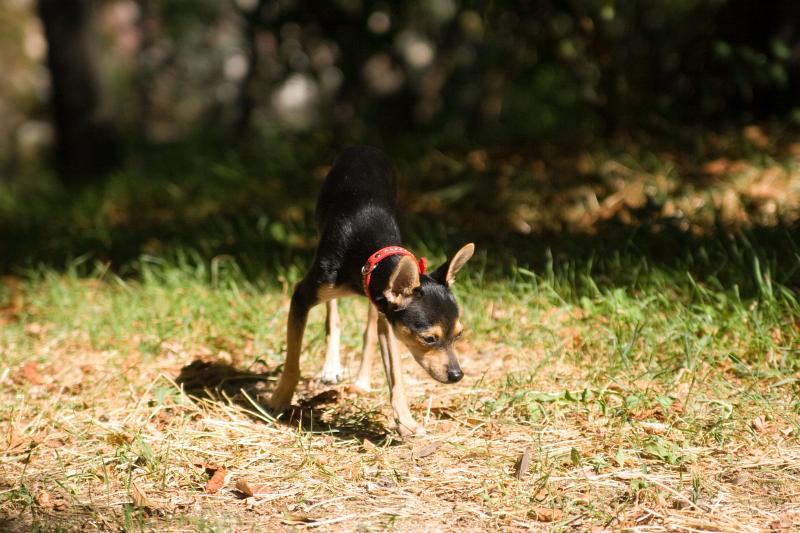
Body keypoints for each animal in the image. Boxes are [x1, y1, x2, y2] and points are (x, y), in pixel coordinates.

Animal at [268, 143, 476, 434]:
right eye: (429, 339)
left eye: (459, 335)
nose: (457, 375)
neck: (368, 254)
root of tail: (364, 146)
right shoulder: (301, 297)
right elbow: (293, 361)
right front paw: (281, 398)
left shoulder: (389, 320)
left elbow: (396, 378)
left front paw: (406, 422)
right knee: (332, 314)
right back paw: (331, 366)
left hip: (376, 307)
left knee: (368, 332)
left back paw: (362, 381)